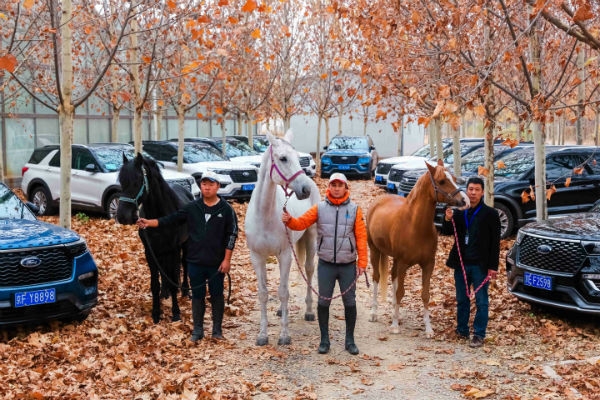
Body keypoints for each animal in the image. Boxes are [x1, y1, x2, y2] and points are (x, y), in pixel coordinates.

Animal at [116, 152, 193, 324]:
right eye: (121, 182)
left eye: (137, 181)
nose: (122, 216)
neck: (160, 215)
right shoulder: (150, 252)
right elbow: (154, 284)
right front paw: (156, 313)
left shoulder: (173, 250)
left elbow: (173, 279)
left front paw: (176, 313)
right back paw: (165, 293)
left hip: (185, 245)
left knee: (184, 265)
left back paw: (185, 291)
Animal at [245, 130, 322, 346]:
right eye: (283, 158)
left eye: (297, 157)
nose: (304, 190)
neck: (264, 215)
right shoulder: (257, 257)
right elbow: (264, 293)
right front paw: (263, 335)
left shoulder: (285, 254)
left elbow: (283, 292)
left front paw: (284, 335)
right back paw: (281, 311)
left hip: (310, 238)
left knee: (309, 270)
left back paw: (309, 311)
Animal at [368, 159, 472, 338]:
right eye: (442, 181)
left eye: (453, 178)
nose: (465, 201)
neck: (415, 226)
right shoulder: (403, 263)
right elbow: (401, 292)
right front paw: (394, 326)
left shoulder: (428, 264)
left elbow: (425, 295)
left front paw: (428, 329)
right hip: (375, 251)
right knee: (376, 277)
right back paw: (374, 313)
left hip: (395, 260)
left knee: (393, 277)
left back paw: (396, 313)